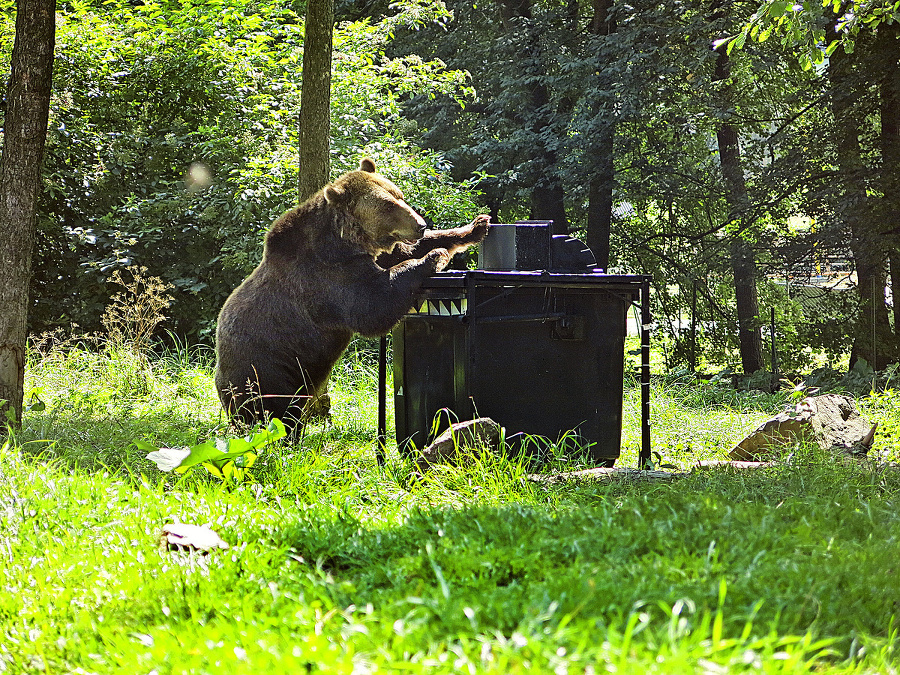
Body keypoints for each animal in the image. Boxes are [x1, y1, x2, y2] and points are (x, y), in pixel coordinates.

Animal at [214, 158, 488, 430]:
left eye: (399, 195)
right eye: (388, 205)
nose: (420, 225)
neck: (346, 242)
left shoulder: (371, 255)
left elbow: (407, 250)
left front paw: (476, 226)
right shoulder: (329, 279)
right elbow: (374, 306)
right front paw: (435, 256)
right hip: (266, 371)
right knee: (270, 416)